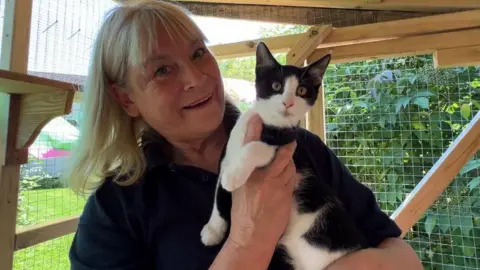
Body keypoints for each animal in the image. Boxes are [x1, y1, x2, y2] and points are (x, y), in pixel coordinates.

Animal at [201, 42, 366, 270]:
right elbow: (219, 195)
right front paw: (213, 229)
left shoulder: (288, 149)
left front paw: (234, 175)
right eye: (277, 86)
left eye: (301, 90)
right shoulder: (226, 155)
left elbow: (257, 147)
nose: (288, 103)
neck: (268, 125)